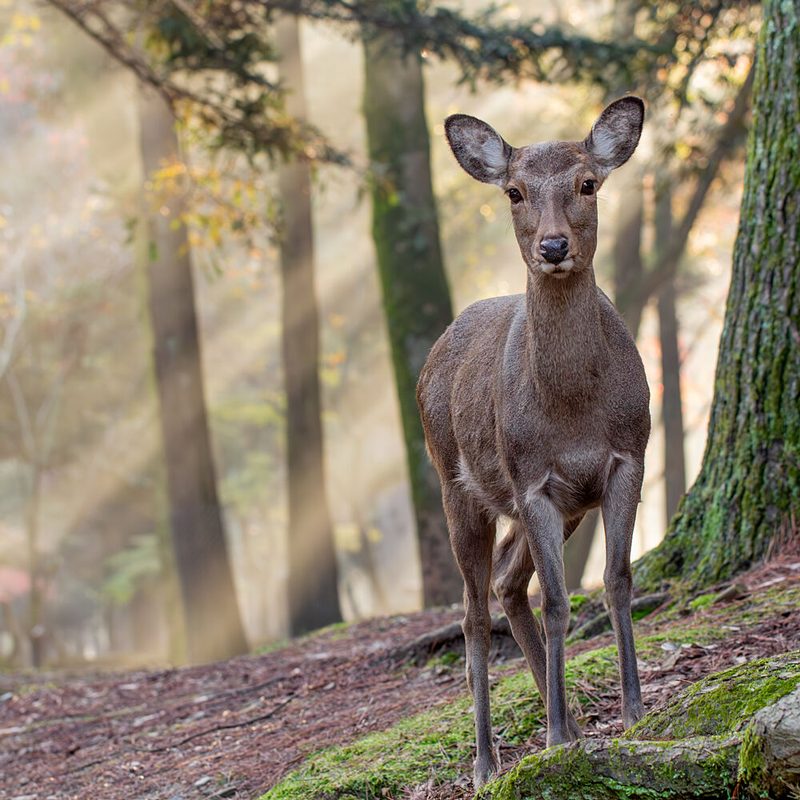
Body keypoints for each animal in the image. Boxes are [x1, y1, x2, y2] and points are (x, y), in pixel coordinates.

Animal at [416, 97, 650, 788]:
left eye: (588, 183)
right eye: (514, 191)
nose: (553, 245)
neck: (572, 412)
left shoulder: (629, 456)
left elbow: (617, 579)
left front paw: (632, 713)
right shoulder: (533, 480)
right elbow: (558, 603)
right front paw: (549, 738)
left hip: (554, 506)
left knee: (507, 583)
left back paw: (567, 722)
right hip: (459, 485)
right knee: (472, 612)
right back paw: (487, 763)